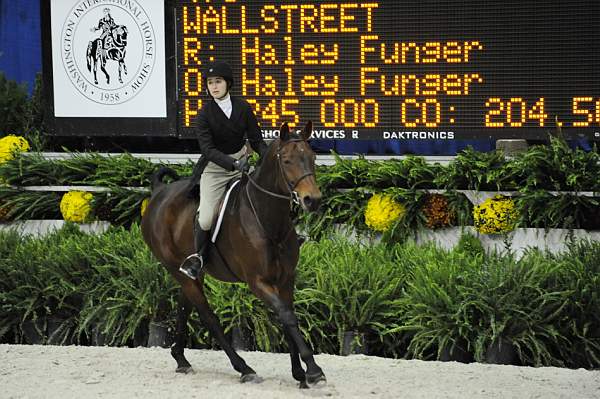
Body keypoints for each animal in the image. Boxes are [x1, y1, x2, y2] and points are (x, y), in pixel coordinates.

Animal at [141, 121, 326, 388]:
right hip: (177, 268)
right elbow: (287, 316)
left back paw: (181, 360)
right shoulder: (258, 282)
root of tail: (158, 193)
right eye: (287, 161)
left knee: (185, 306)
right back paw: (244, 368)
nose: (313, 200)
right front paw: (313, 371)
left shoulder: (286, 279)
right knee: (208, 317)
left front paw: (300, 374)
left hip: (190, 274)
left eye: (312, 157)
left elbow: (289, 317)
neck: (268, 219)